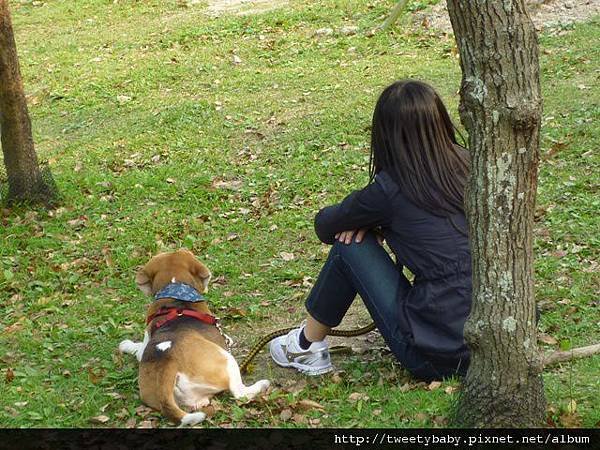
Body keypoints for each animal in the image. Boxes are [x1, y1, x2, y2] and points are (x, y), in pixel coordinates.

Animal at [119, 248, 270, 428]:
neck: (175, 296)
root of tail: (168, 364)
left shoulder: (144, 343)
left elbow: (137, 350)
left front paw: (125, 345)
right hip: (226, 359)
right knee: (240, 393)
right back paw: (261, 385)